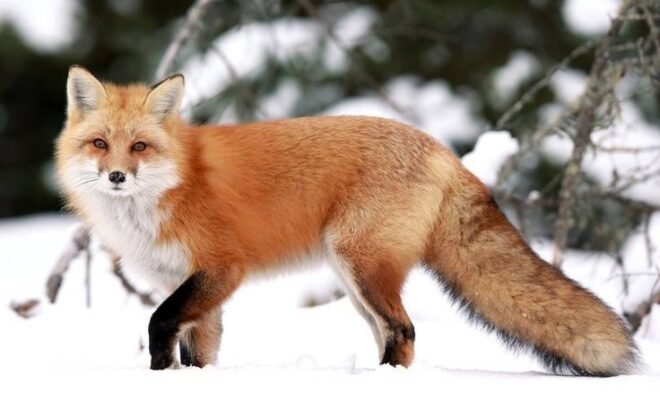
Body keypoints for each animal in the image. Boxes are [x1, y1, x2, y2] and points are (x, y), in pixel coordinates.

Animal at [55, 66, 639, 376]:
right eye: (100, 144)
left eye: (140, 147)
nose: (116, 177)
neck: (172, 187)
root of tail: (442, 150)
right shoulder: (193, 287)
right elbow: (202, 352)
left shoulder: (221, 269)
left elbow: (158, 324)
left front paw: (160, 374)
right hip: (355, 279)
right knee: (392, 334)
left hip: (361, 265)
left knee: (403, 329)